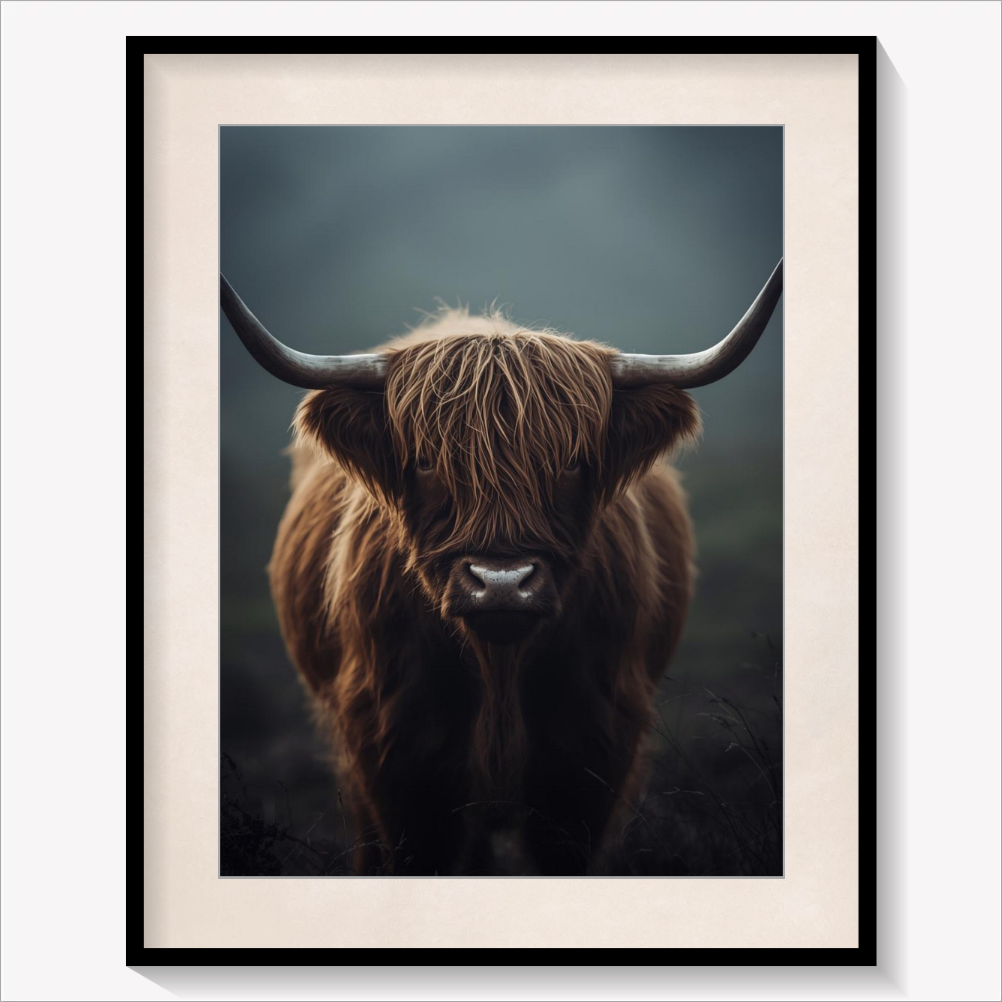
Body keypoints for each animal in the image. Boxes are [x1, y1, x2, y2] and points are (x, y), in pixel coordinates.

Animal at [220, 260, 783, 875]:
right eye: (427, 462)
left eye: (572, 463)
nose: (502, 584)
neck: (499, 666)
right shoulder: (396, 752)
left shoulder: (590, 750)